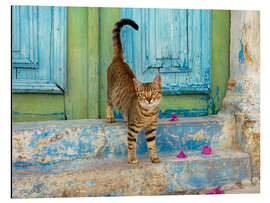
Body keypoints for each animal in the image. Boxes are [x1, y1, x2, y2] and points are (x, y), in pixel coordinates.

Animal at [107, 19, 162, 164]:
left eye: (153, 93)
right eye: (143, 95)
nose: (149, 99)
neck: (148, 114)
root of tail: (119, 60)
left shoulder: (151, 128)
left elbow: (152, 144)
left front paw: (154, 157)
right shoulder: (132, 129)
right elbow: (131, 144)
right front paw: (132, 158)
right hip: (110, 92)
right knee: (108, 103)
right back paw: (110, 117)